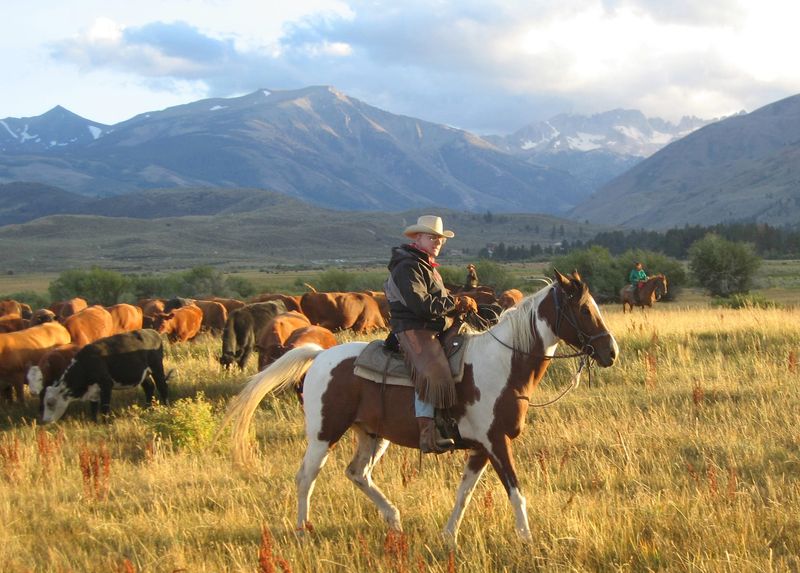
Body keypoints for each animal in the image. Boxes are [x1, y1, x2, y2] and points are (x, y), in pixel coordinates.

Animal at [41, 328, 172, 422]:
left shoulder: (106, 384)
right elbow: (93, 407)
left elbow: (104, 407)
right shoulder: (93, 389)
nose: (45, 421)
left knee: (162, 386)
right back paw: (148, 408)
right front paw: (94, 422)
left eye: (50, 403)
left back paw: (166, 406)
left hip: (157, 368)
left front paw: (106, 423)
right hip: (144, 374)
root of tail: (152, 332)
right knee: (149, 387)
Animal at [219, 270, 620, 544]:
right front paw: (527, 541)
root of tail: (318, 356)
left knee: (357, 473)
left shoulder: (480, 448)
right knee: (306, 477)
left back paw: (394, 519)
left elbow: (464, 493)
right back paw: (303, 530)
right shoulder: (496, 443)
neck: (503, 364)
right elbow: (516, 492)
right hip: (323, 434)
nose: (610, 352)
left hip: (372, 435)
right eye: (584, 310)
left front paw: (448, 536)